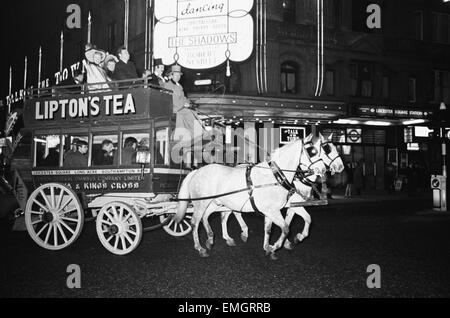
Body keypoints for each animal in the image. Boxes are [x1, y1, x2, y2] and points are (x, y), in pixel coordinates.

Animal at [173, 135, 326, 258]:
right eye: (312, 151)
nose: (324, 169)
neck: (275, 176)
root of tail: (197, 171)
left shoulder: (273, 210)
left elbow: (276, 227)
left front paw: (276, 245)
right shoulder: (272, 210)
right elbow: (285, 228)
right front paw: (275, 247)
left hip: (215, 203)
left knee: (207, 216)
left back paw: (211, 239)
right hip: (201, 203)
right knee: (195, 222)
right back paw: (200, 248)